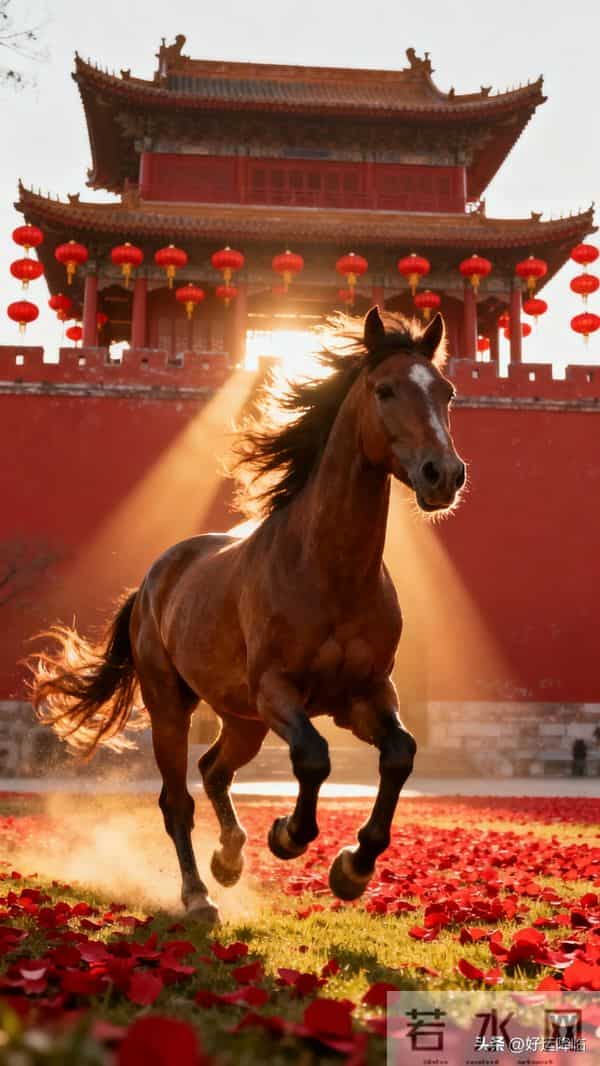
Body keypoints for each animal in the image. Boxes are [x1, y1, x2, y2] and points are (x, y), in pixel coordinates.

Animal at [30, 306, 465, 926]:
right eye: (384, 390)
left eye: (446, 391)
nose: (443, 475)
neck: (328, 570)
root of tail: (153, 578)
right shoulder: (277, 690)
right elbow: (313, 757)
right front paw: (289, 834)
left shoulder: (367, 694)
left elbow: (400, 755)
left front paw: (353, 868)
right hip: (174, 707)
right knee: (177, 800)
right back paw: (198, 895)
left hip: (244, 721)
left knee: (215, 769)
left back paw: (229, 858)